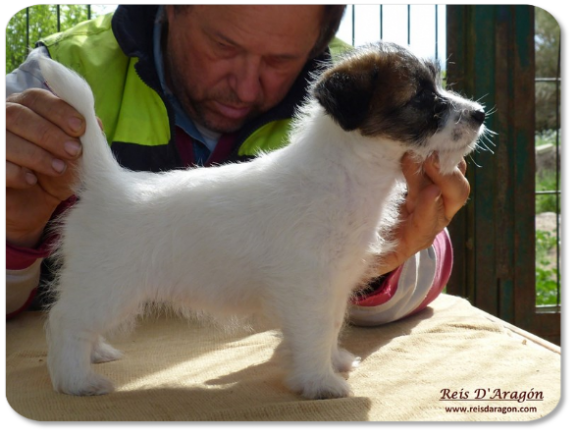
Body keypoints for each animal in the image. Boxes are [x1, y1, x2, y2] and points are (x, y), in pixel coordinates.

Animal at [38, 42, 484, 400]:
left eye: (437, 88)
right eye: (422, 100)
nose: (479, 113)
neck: (345, 173)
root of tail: (110, 184)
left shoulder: (334, 284)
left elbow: (331, 326)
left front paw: (333, 360)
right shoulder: (310, 287)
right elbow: (317, 331)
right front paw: (320, 381)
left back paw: (96, 354)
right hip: (109, 286)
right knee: (64, 322)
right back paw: (77, 380)